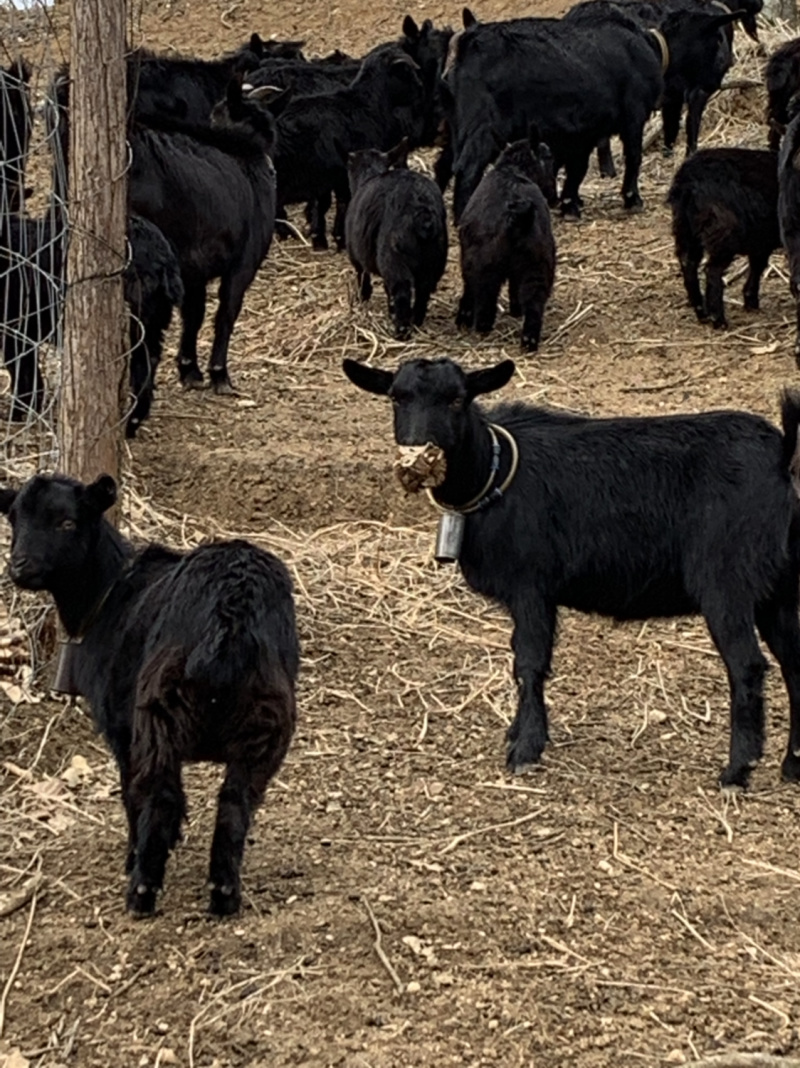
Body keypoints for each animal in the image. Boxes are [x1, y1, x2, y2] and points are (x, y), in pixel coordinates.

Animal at [0, 476, 299, 918]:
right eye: (14, 519)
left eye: (67, 522)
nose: (19, 566)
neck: (107, 595)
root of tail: (233, 607)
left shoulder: (122, 729)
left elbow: (132, 792)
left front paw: (133, 855)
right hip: (266, 720)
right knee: (235, 801)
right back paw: (224, 895)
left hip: (159, 713)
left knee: (160, 794)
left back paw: (142, 891)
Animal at [343, 138, 446, 337]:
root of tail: (422, 209)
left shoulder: (357, 257)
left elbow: (363, 277)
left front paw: (363, 298)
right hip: (434, 260)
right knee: (423, 291)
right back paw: (415, 321)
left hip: (393, 258)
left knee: (401, 291)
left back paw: (401, 330)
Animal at [343, 354, 800, 790]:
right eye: (396, 398)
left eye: (457, 399)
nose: (417, 458)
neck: (494, 471)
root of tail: (780, 456)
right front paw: (518, 735)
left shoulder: (531, 586)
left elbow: (529, 662)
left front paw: (526, 749)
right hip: (777, 589)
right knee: (793, 663)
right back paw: (791, 765)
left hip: (727, 583)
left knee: (747, 666)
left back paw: (737, 771)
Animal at [455, 127, 555, 348]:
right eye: (548, 156)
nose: (554, 195)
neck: (512, 169)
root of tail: (519, 217)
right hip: (537, 266)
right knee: (533, 304)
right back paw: (528, 340)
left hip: (487, 265)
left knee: (484, 300)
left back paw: (480, 326)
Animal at [666, 148, 777, 326]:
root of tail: (687, 181)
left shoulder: (762, 240)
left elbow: (757, 265)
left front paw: (750, 301)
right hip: (724, 232)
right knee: (712, 271)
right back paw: (718, 319)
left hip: (684, 226)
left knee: (688, 262)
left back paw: (701, 311)